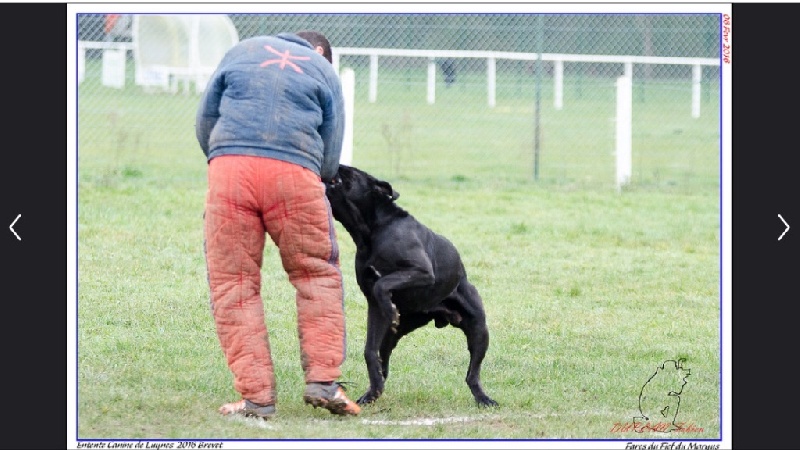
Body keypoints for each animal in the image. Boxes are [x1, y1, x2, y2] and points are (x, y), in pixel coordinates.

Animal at [324, 165, 496, 408]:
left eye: (351, 171)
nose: (337, 164)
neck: (371, 231)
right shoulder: (374, 306)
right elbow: (369, 350)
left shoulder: (421, 272)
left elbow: (383, 283)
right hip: (391, 335)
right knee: (382, 359)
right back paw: (373, 389)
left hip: (479, 329)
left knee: (473, 373)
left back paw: (483, 398)